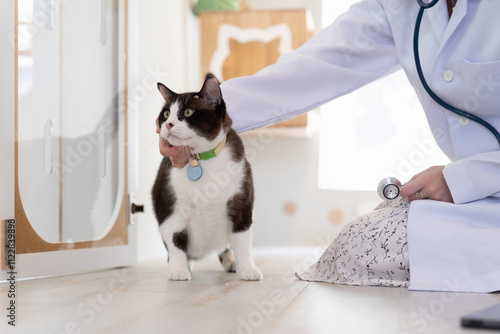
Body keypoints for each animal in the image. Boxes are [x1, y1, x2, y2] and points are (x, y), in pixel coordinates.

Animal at [151, 74, 262, 280]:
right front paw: (178, 269)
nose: (168, 124)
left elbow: (242, 241)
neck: (200, 158)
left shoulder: (242, 203)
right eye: (166, 114)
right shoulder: (169, 206)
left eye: (188, 112)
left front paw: (247, 269)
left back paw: (230, 261)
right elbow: (175, 241)